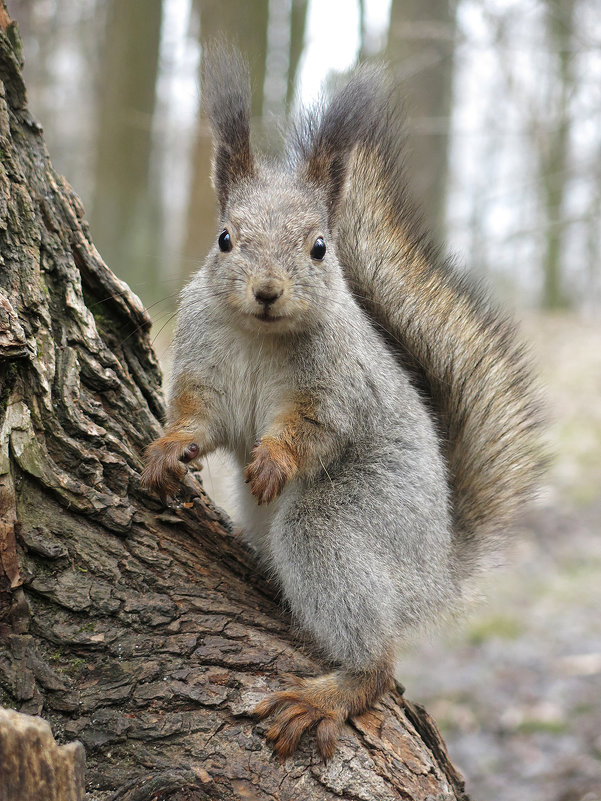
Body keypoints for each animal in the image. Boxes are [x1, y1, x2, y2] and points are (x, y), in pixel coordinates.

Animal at [141, 47, 544, 760]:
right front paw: (169, 449)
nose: (267, 291)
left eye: (320, 247)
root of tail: (434, 572)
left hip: (347, 522)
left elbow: (315, 428)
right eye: (225, 238)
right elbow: (200, 418)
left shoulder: (337, 386)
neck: (259, 335)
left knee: (377, 658)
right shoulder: (204, 366)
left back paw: (330, 693)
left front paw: (274, 459)